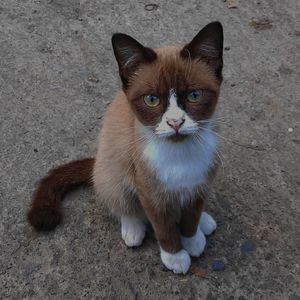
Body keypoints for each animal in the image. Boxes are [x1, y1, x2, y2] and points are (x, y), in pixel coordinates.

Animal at [28, 21, 224, 274]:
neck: (181, 154)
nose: (175, 123)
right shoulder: (150, 193)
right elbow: (164, 227)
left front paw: (192, 239)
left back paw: (204, 223)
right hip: (114, 165)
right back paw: (133, 228)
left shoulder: (200, 184)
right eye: (151, 99)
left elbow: (191, 218)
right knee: (121, 201)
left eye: (194, 95)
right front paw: (175, 256)